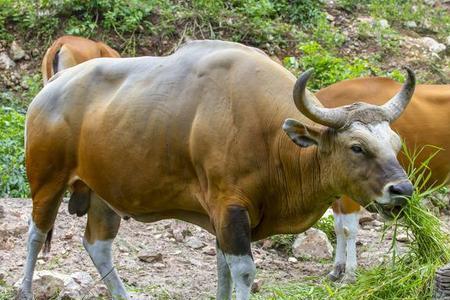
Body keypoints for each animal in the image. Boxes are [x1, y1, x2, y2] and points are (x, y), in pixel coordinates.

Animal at [19, 40, 416, 300]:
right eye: (357, 147)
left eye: (396, 144)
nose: (402, 191)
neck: (272, 139)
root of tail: (49, 91)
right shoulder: (230, 208)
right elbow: (243, 271)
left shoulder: (221, 219)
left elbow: (223, 269)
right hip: (47, 182)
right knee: (36, 235)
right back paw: (25, 290)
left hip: (104, 194)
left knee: (98, 246)